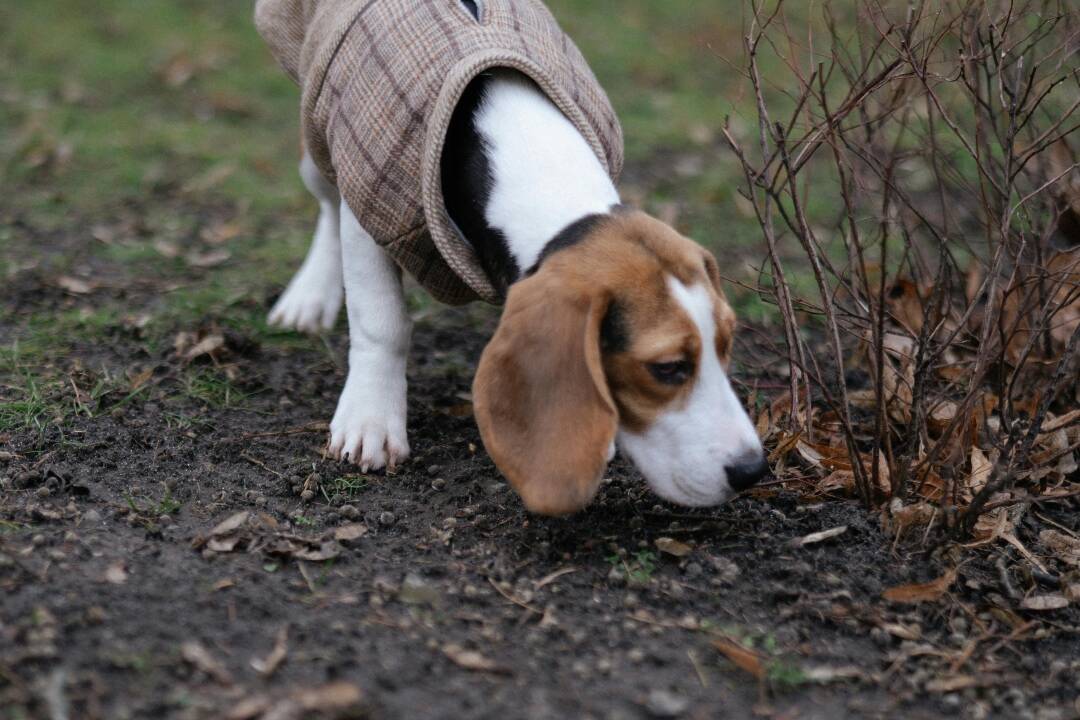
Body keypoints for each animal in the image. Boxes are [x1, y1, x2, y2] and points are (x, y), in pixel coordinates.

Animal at [266, 70, 768, 515]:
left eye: (727, 345)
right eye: (666, 368)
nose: (753, 471)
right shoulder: (370, 209)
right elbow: (381, 322)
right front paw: (370, 419)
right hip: (319, 146)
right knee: (327, 203)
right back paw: (308, 298)